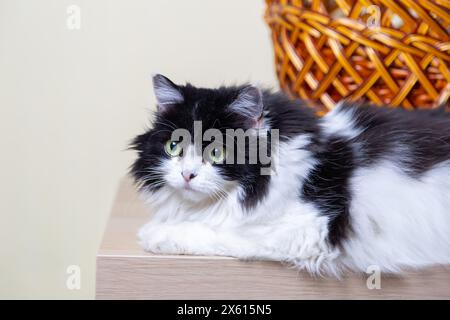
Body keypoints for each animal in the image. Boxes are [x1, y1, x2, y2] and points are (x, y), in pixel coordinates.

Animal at [130, 74, 450, 276]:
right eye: (174, 146)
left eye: (218, 152)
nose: (187, 174)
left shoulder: (306, 229)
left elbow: (217, 231)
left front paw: (155, 233)